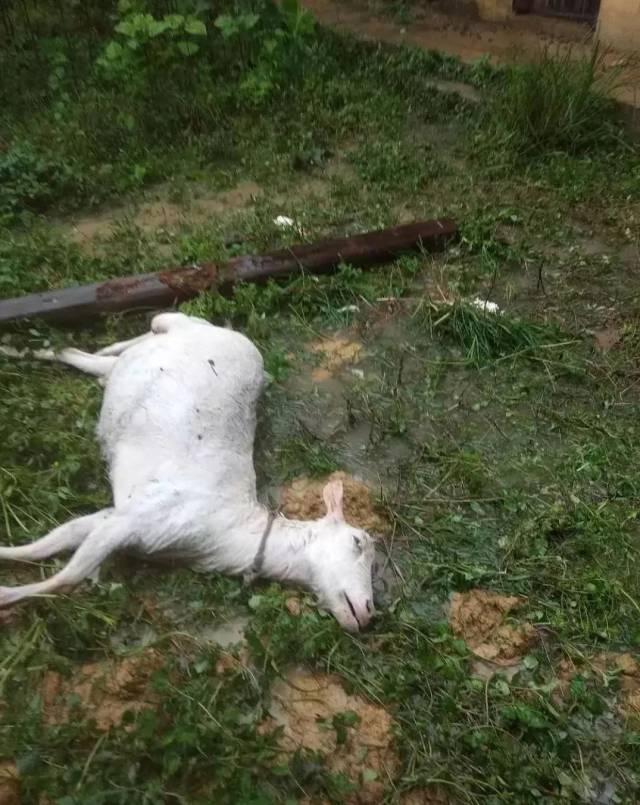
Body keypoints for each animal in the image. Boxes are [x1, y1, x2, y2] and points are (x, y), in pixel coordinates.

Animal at [0, 310, 376, 632]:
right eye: (357, 542)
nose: (369, 612)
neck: (228, 531)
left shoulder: (115, 518)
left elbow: (51, 542)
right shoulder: (136, 520)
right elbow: (68, 577)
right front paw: (6, 596)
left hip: (131, 360)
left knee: (79, 355)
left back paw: (25, 349)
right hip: (182, 324)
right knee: (156, 323)